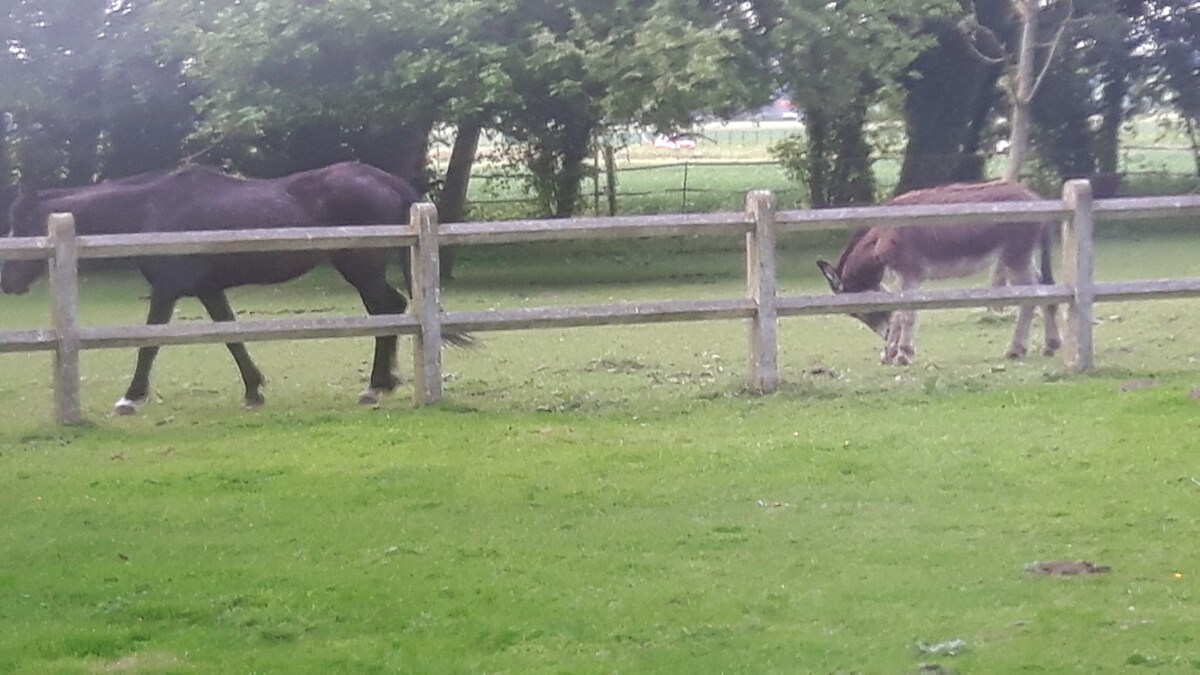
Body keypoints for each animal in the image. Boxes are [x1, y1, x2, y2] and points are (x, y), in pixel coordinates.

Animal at [2, 162, 444, 415]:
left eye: (21, 225)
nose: (8, 279)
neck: (152, 209)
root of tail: (385, 180)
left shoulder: (167, 291)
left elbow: (149, 344)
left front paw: (130, 397)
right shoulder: (209, 291)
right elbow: (232, 338)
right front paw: (253, 391)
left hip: (361, 269)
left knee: (386, 310)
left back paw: (375, 387)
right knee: (391, 310)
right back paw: (382, 384)